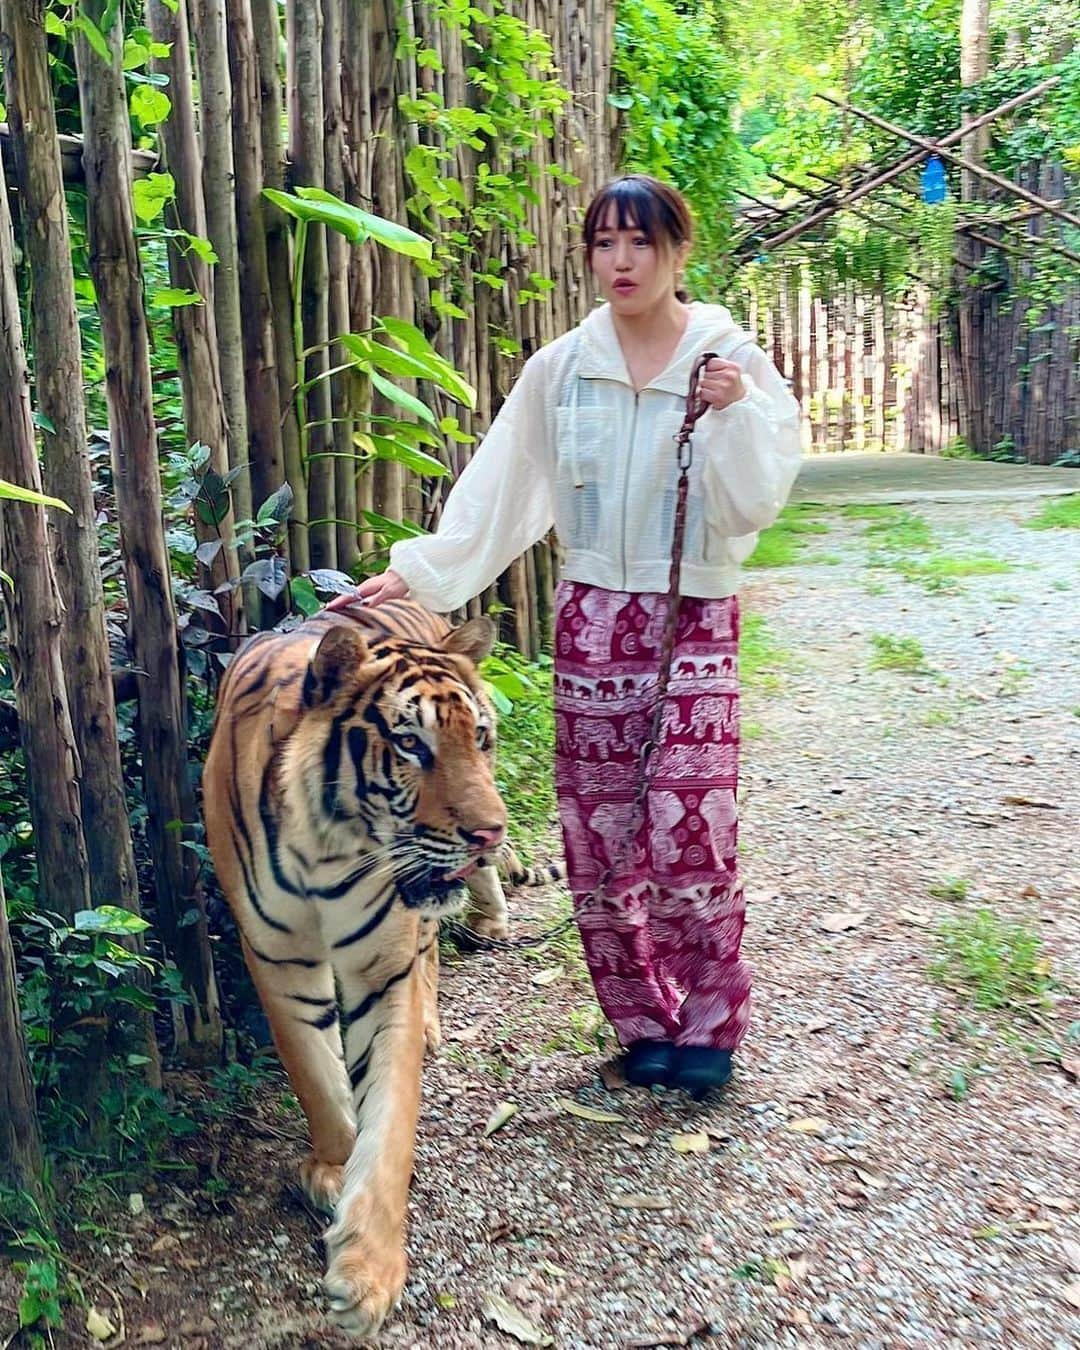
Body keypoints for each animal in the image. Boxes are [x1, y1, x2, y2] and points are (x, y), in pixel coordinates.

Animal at [207, 604, 523, 1339]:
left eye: (481, 738)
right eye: (410, 745)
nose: (488, 833)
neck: (324, 847)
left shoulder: (384, 968)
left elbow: (389, 1123)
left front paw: (369, 1271)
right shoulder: (277, 956)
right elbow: (318, 1079)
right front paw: (330, 1170)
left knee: (433, 944)